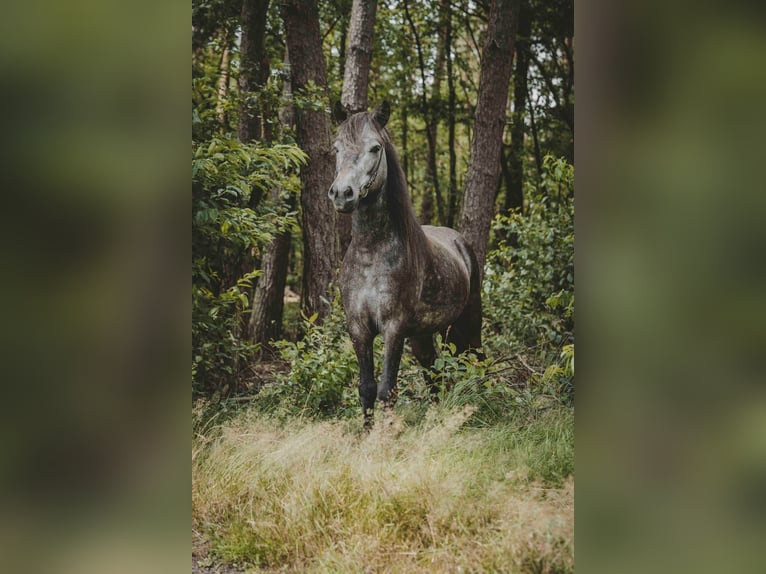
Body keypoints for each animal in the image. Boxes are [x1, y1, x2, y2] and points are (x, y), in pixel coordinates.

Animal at [329, 101, 483, 426]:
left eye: (375, 148)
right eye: (336, 148)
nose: (342, 194)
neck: (371, 253)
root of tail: (460, 242)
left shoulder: (393, 328)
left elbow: (387, 389)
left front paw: (386, 435)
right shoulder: (358, 328)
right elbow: (367, 388)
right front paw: (367, 433)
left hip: (469, 321)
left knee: (474, 361)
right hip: (423, 335)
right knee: (433, 372)